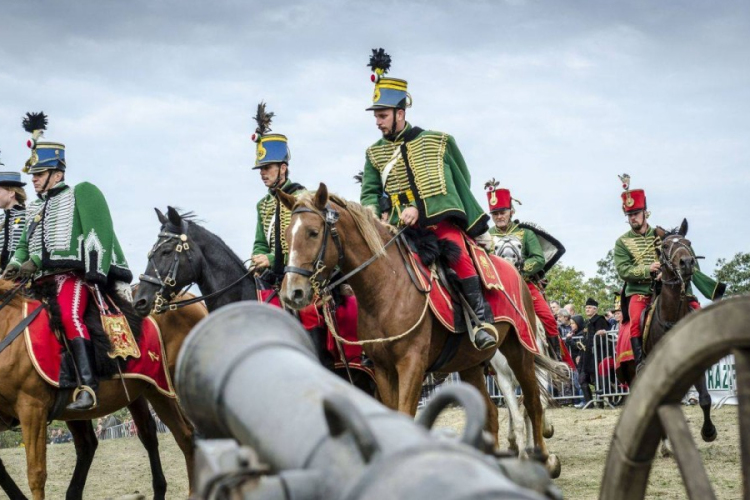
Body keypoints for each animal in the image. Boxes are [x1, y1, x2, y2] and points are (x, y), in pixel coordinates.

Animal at [280, 185, 560, 476]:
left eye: (313, 232)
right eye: (287, 235)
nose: (292, 292)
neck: (386, 287)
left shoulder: (411, 364)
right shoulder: (383, 369)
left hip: (519, 351)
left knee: (532, 402)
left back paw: (543, 459)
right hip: (470, 364)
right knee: (492, 413)